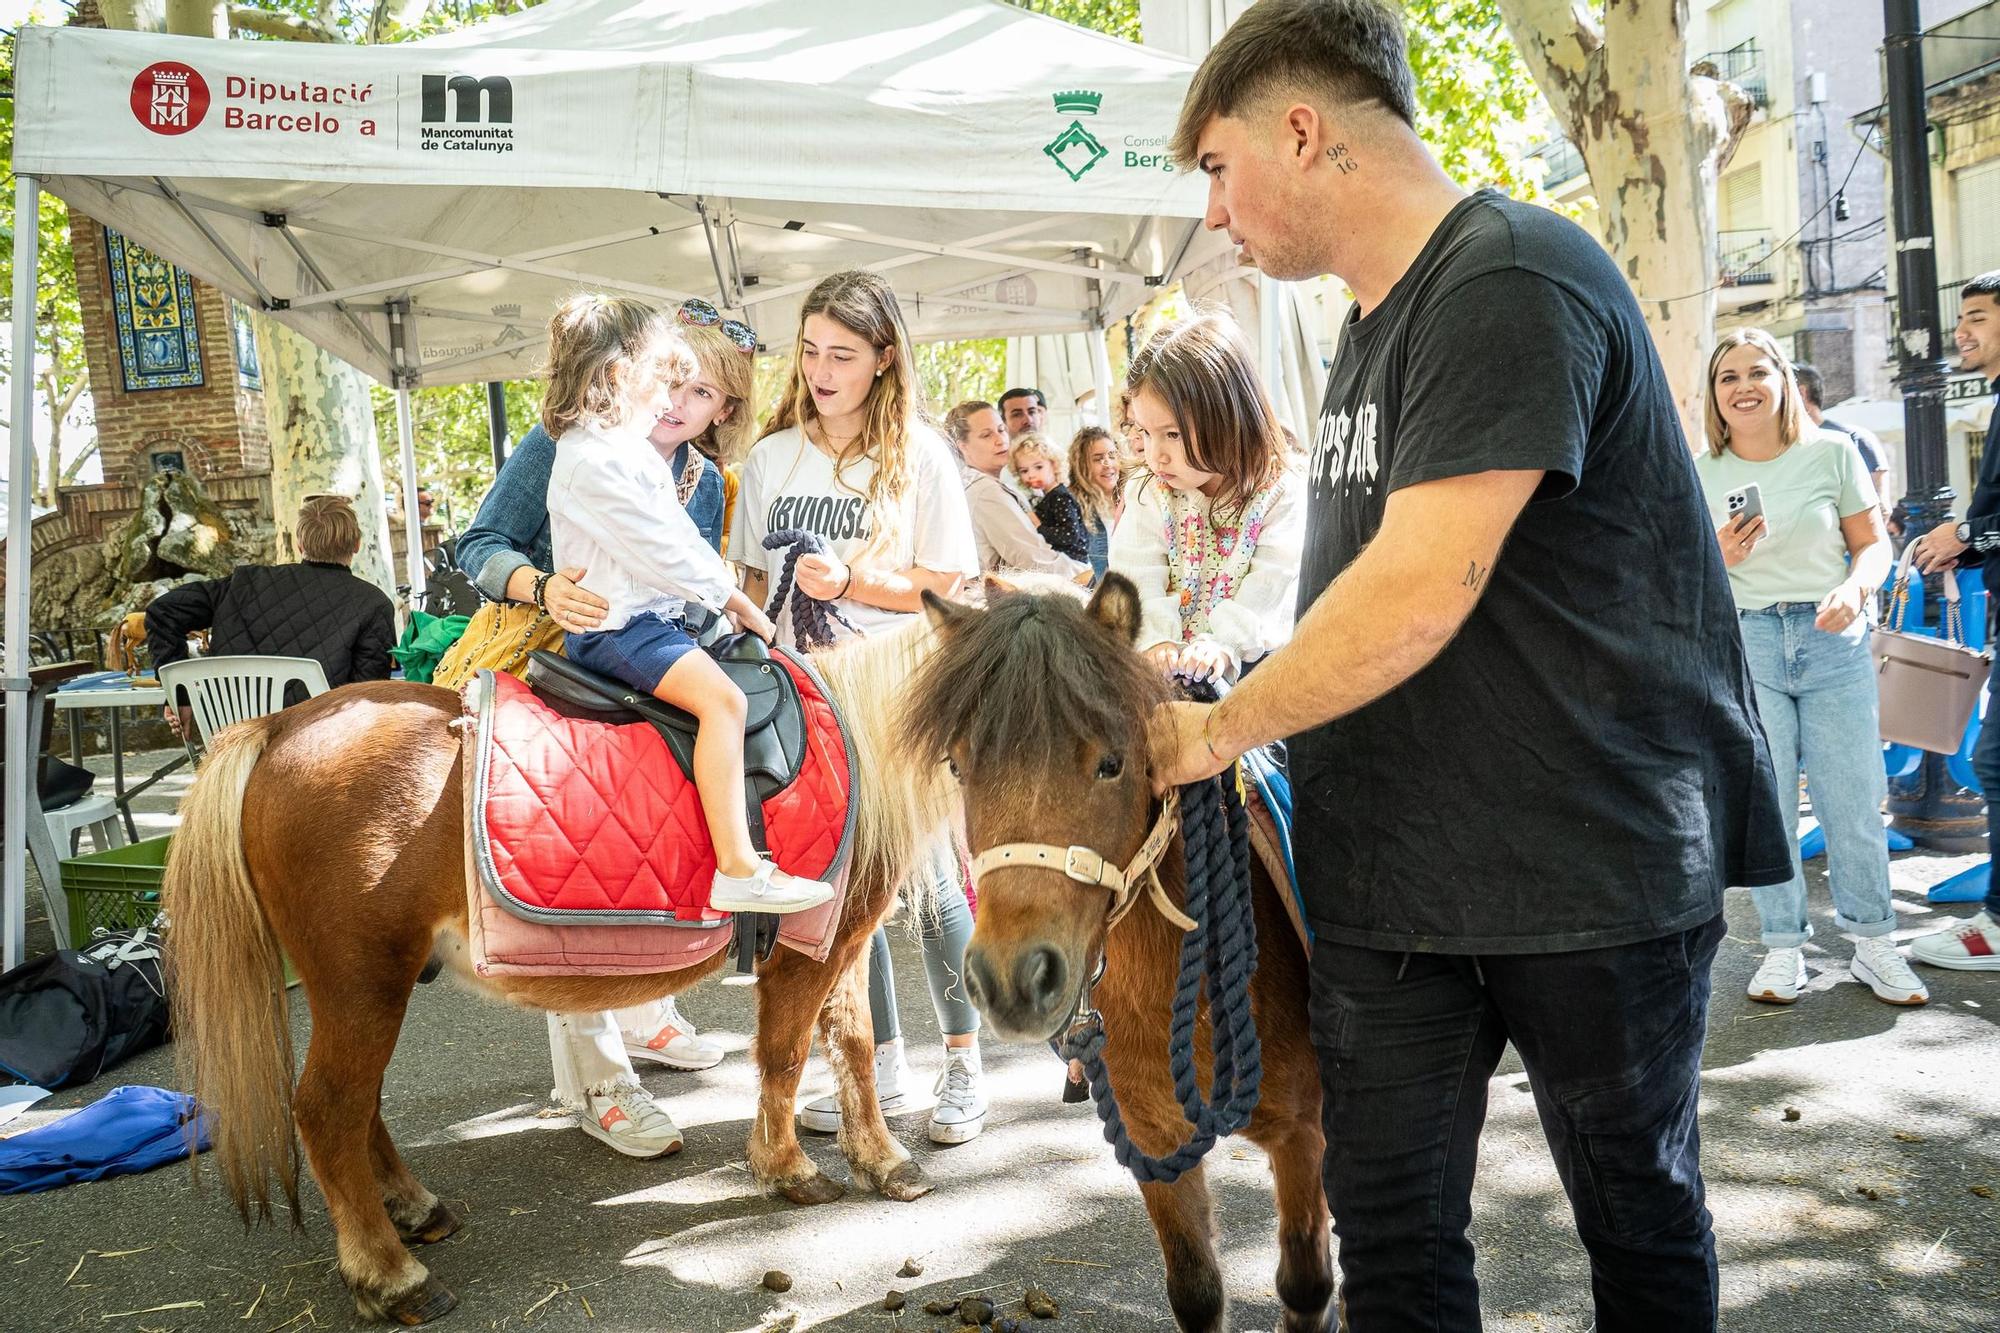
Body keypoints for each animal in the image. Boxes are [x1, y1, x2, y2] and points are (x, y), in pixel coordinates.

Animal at [164, 620, 952, 1320]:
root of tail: (277, 727)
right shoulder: (800, 954)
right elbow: (785, 1057)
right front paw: (789, 1169)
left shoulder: (842, 943)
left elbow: (853, 1046)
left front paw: (884, 1161)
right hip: (363, 983)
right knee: (328, 1110)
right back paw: (391, 1276)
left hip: (367, 987)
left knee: (362, 1104)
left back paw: (414, 1208)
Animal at [916, 576, 1336, 1328]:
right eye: (959, 765)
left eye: (1112, 763)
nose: (1013, 978)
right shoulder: (1155, 1141)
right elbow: (1196, 1291)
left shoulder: (1303, 1135)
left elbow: (1307, 1284)